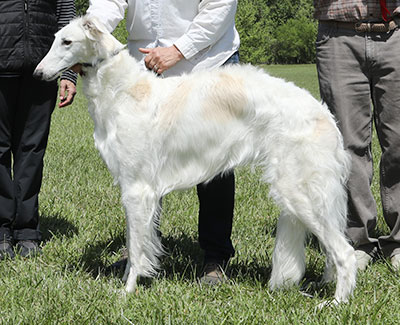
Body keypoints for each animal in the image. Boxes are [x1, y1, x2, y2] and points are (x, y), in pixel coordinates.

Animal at [34, 16, 356, 302]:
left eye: (67, 41)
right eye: (55, 39)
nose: (37, 74)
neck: (125, 91)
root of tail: (324, 114)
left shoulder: (137, 189)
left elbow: (136, 250)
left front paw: (126, 292)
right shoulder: (133, 188)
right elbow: (136, 243)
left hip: (299, 192)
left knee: (347, 253)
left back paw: (336, 303)